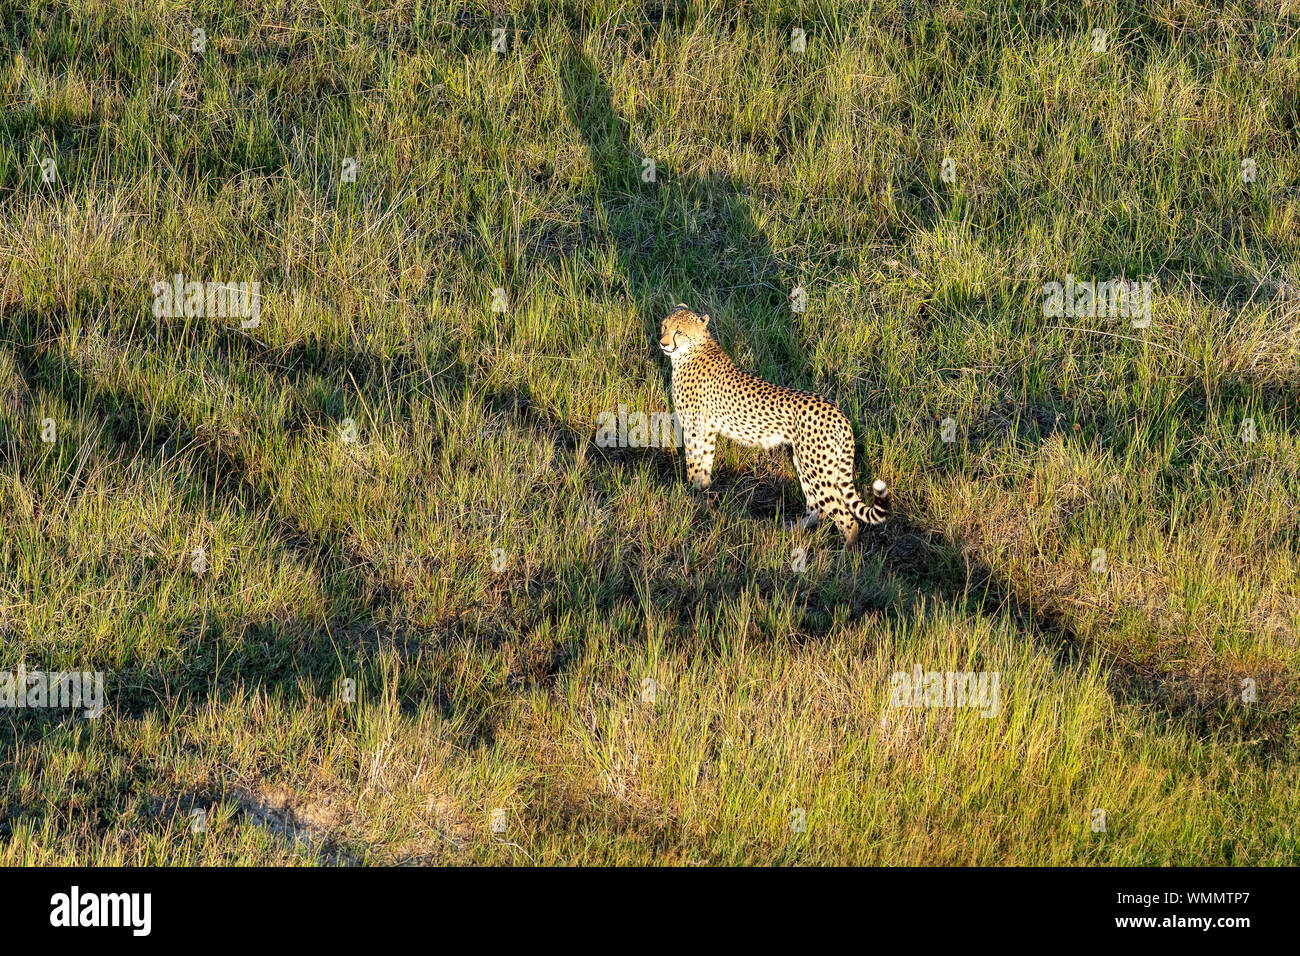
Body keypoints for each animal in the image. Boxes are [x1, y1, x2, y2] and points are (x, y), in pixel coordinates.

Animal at [655, 306, 889, 546]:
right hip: (806, 463)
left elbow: (693, 463)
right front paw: (702, 493)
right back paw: (794, 530)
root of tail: (838, 412)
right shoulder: (708, 430)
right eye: (664, 326)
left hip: (816, 468)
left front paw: (690, 494)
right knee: (817, 507)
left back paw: (846, 551)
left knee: (845, 516)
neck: (692, 349)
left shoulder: (694, 426)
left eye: (679, 331)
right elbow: (705, 465)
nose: (663, 343)